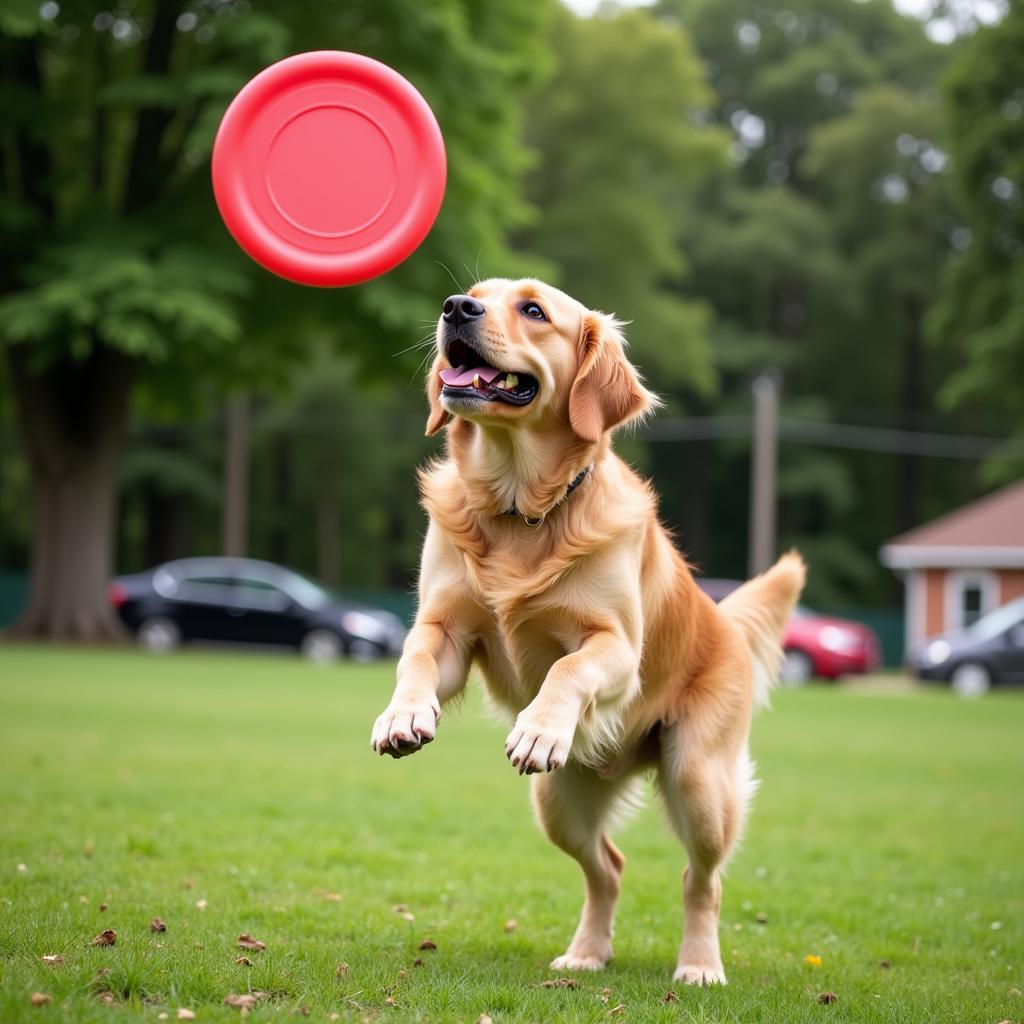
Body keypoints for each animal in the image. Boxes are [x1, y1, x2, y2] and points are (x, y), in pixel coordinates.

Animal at [370, 278, 806, 983]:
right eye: (475, 294)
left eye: (534, 310)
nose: (455, 308)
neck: (518, 506)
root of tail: (724, 620)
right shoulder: (448, 630)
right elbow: (416, 657)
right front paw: (402, 715)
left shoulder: (618, 647)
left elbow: (568, 666)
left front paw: (539, 728)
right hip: (559, 802)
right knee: (609, 869)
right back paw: (586, 953)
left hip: (697, 779)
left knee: (701, 881)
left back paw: (699, 965)